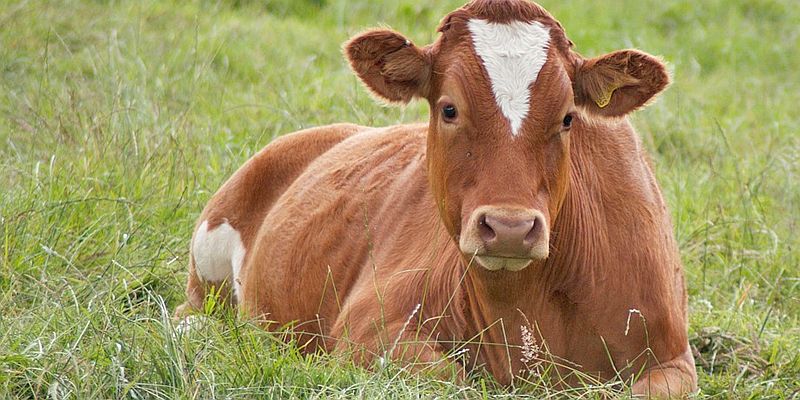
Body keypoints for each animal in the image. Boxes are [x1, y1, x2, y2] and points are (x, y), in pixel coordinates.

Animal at [173, 0, 692, 396]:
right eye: (449, 108)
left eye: (567, 118)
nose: (510, 228)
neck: (528, 310)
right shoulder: (368, 329)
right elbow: (449, 378)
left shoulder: (673, 358)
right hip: (207, 268)